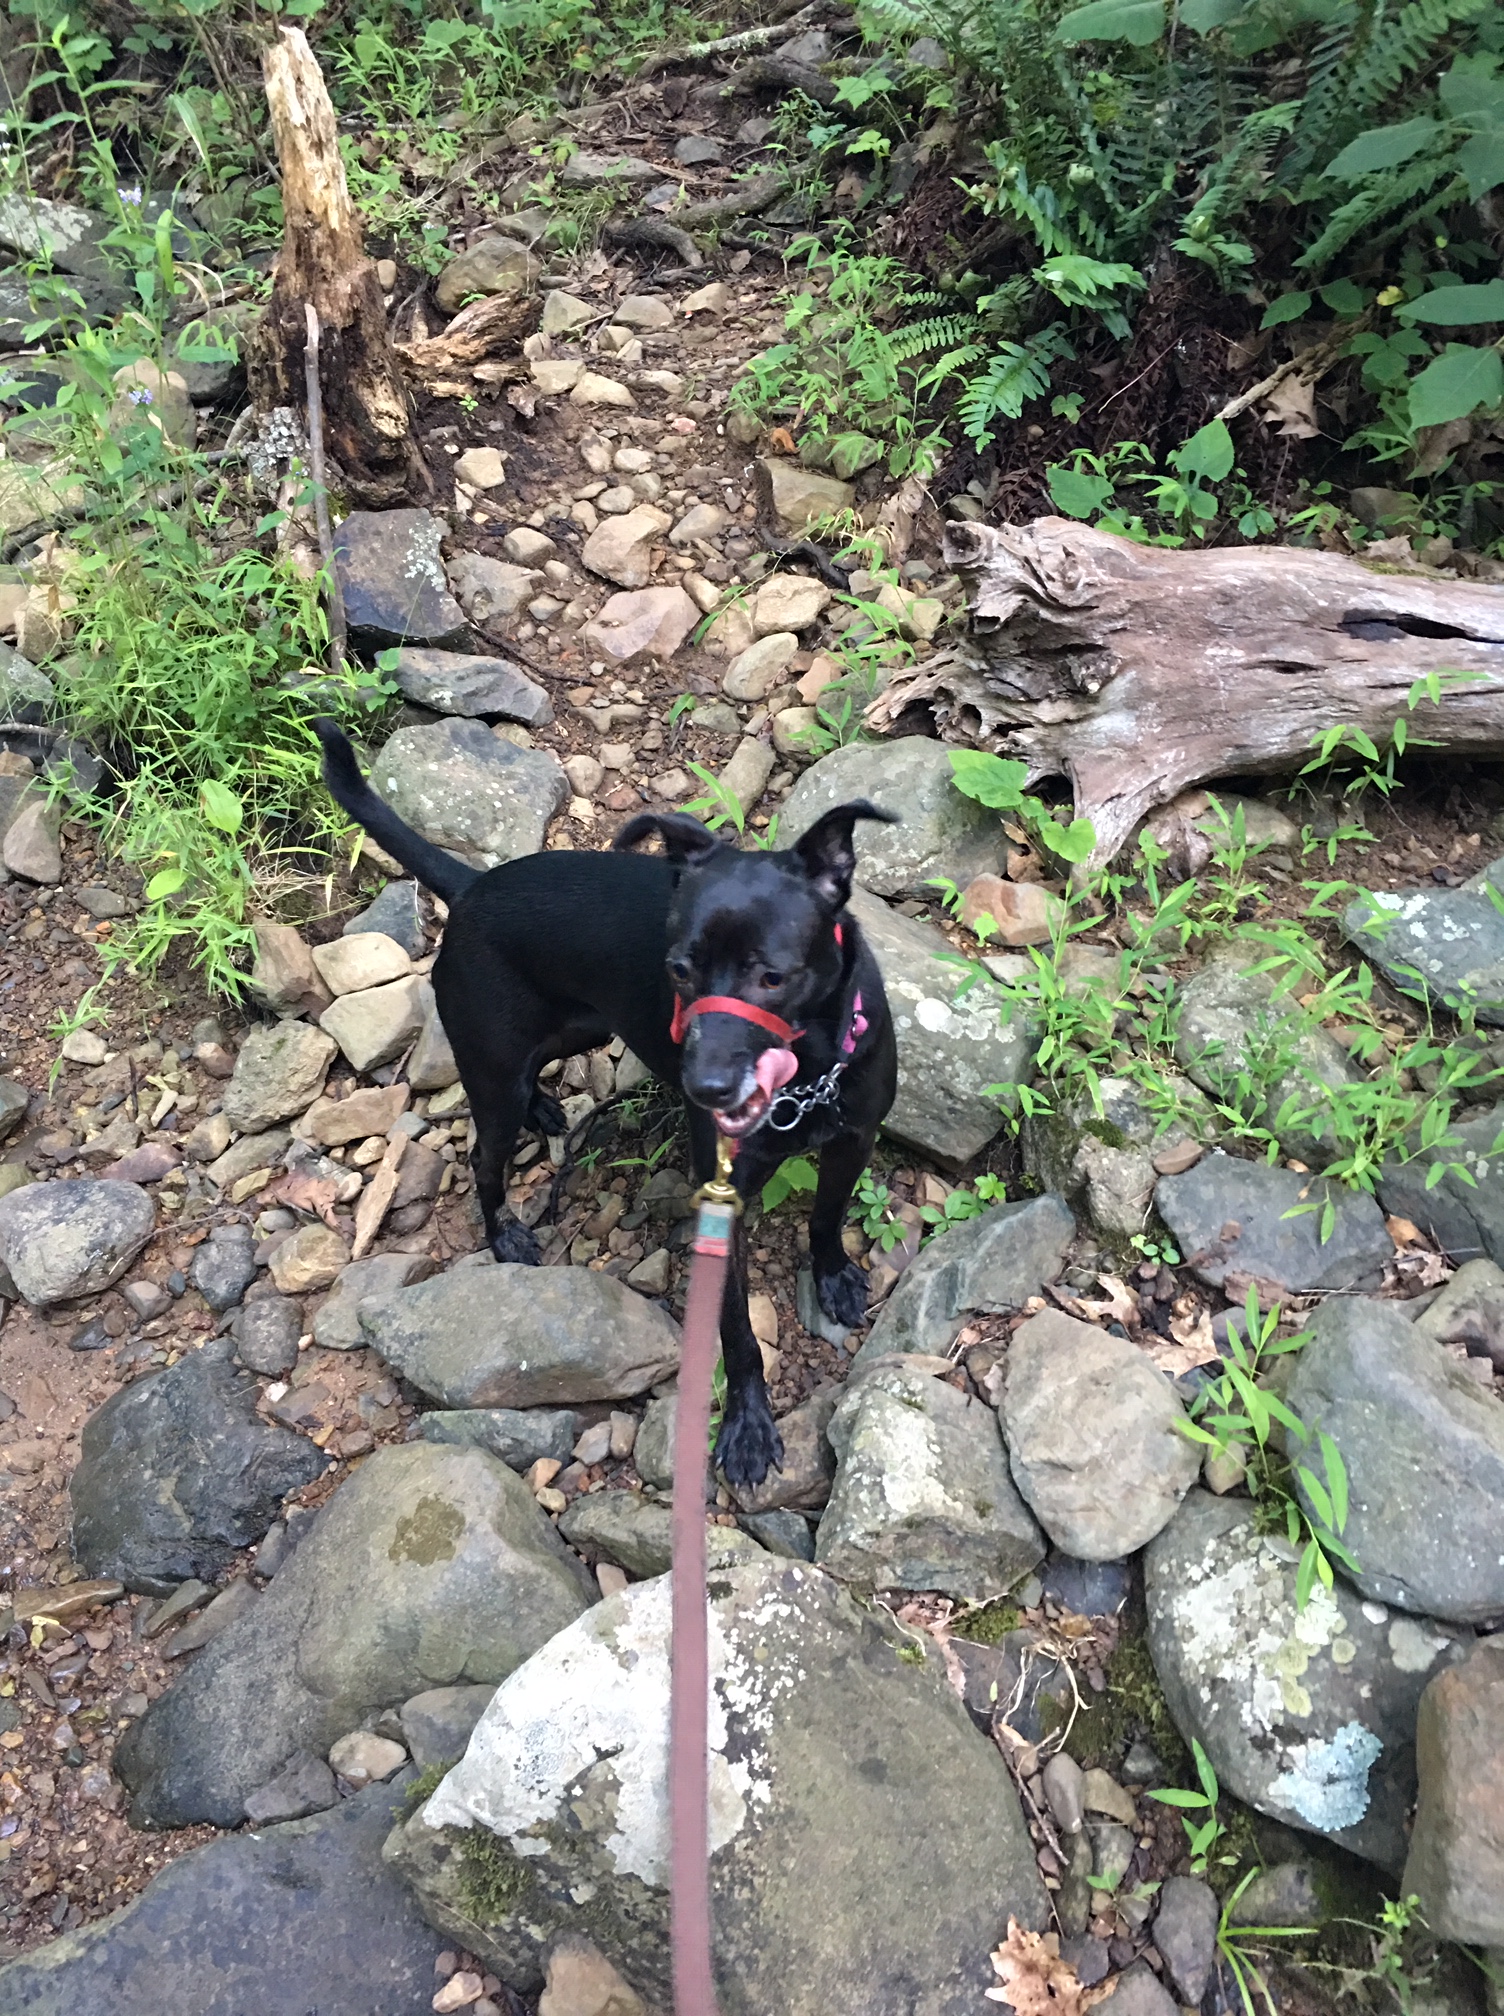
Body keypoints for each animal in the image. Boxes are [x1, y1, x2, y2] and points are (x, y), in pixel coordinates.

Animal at [314, 719, 898, 1490]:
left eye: (772, 977)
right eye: (678, 970)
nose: (705, 1090)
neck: (809, 1077)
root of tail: (471, 888)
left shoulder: (853, 1137)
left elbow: (828, 1216)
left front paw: (831, 1277)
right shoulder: (723, 1204)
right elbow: (736, 1330)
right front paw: (746, 1425)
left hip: (582, 1026)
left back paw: (544, 1109)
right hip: (493, 1074)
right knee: (482, 1157)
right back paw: (504, 1232)